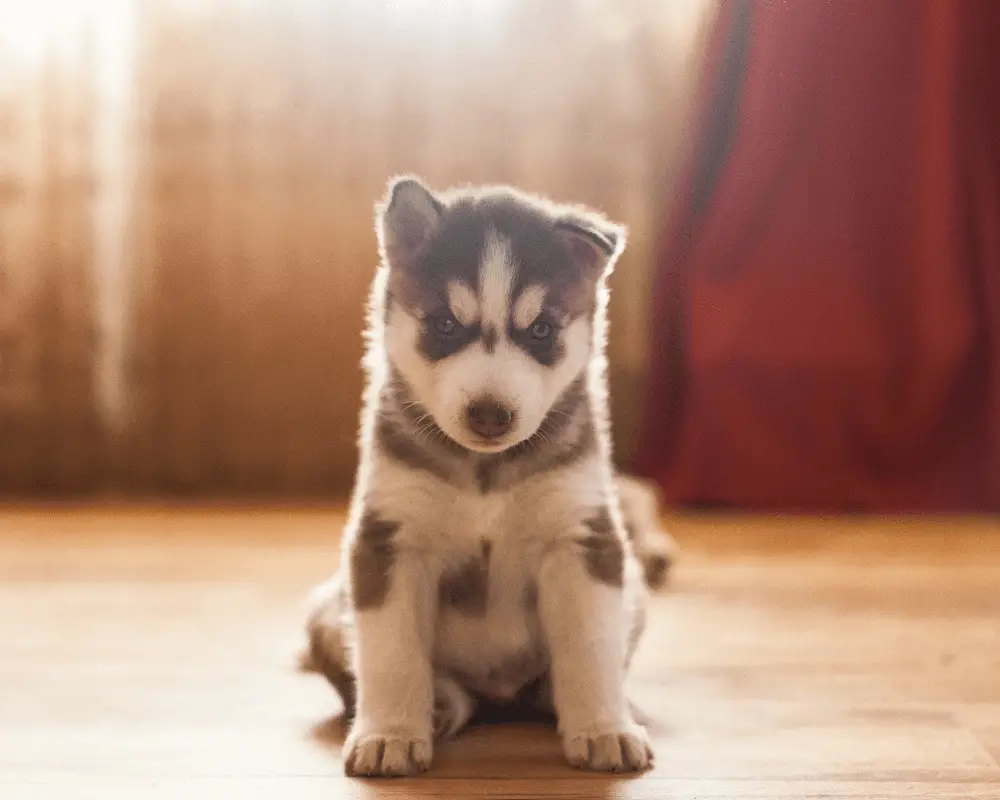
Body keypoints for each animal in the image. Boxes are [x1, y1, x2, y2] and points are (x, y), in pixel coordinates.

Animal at [302, 177, 680, 776]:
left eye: (542, 329)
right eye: (445, 324)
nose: (489, 413)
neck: (486, 474)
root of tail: (500, 694)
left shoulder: (583, 538)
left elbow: (592, 647)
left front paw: (603, 727)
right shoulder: (388, 541)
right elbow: (391, 654)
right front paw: (389, 734)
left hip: (634, 592)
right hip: (326, 612)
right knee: (436, 687)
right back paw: (439, 706)